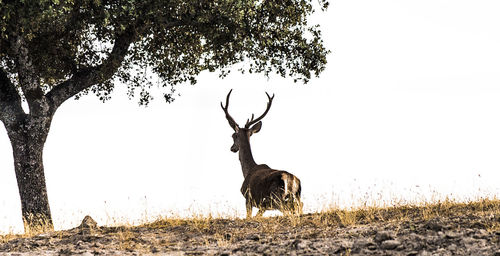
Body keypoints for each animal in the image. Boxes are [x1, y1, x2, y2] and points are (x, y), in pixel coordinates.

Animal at [222, 89, 300, 218]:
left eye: (233, 135)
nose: (232, 148)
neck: (247, 171)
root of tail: (292, 180)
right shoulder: (262, 206)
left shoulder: (248, 198)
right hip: (297, 198)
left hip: (278, 198)